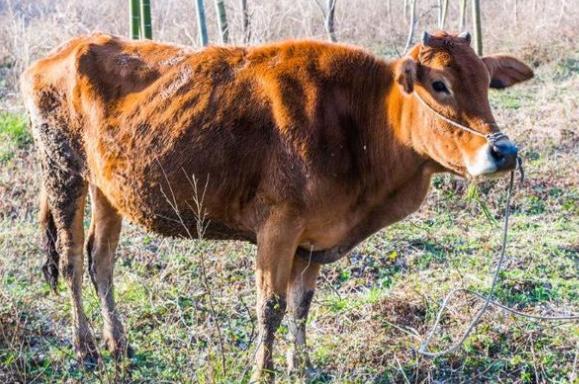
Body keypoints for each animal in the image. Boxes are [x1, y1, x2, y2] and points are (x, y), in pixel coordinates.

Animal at [20, 32, 532, 380]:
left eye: (487, 83)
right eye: (440, 84)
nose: (504, 151)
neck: (359, 124)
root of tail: (62, 51)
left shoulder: (313, 240)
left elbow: (301, 305)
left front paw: (299, 366)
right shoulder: (278, 226)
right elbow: (271, 305)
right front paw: (261, 370)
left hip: (109, 189)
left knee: (100, 261)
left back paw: (118, 344)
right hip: (63, 172)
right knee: (71, 260)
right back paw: (85, 348)